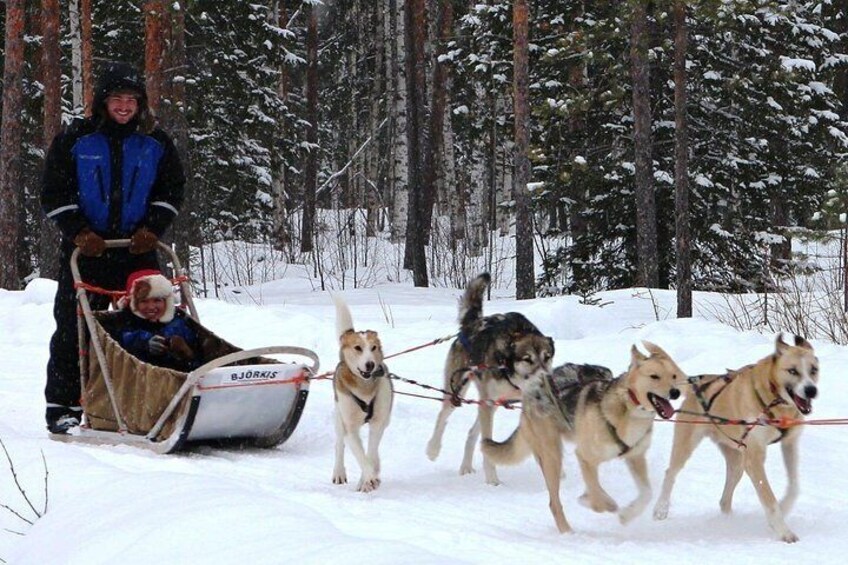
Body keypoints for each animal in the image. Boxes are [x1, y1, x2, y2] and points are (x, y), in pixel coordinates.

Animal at [332, 294, 396, 492]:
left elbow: (370, 453)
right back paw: (339, 472)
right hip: (339, 418)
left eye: (373, 348)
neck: (364, 388)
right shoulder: (350, 428)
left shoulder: (378, 422)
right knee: (339, 445)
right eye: (358, 348)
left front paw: (367, 478)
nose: (370, 364)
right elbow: (360, 454)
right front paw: (370, 478)